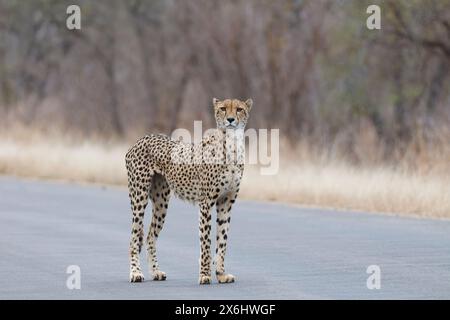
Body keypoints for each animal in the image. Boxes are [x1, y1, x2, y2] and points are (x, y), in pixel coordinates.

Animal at [125, 97, 253, 284]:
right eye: (223, 109)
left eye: (239, 109)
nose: (230, 120)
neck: (232, 146)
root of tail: (142, 139)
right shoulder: (206, 202)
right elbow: (206, 241)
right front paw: (205, 275)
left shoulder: (226, 202)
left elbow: (222, 240)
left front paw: (221, 274)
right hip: (139, 197)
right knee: (134, 237)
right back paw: (135, 273)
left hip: (161, 201)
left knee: (150, 237)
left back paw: (156, 272)